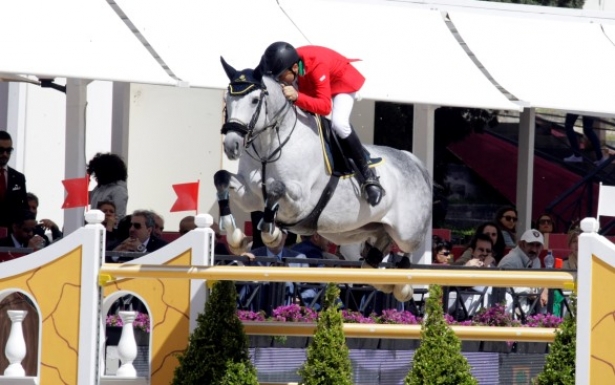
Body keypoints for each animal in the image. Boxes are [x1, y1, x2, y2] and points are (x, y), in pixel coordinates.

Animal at [214, 58, 430, 302]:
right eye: (227, 100)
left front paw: (273, 235)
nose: (231, 146)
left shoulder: (300, 202)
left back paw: (402, 286)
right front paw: (236, 237)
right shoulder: (250, 195)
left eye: (254, 100)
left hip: (406, 232)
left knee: (408, 248)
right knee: (378, 244)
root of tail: (412, 159)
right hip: (352, 232)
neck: (269, 147)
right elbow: (221, 178)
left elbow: (276, 189)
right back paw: (383, 279)